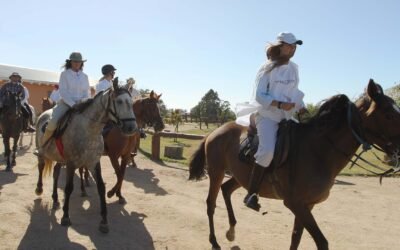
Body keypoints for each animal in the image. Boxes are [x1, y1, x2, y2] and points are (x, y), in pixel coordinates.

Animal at [34, 79, 138, 233]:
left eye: (131, 102)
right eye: (119, 101)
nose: (131, 127)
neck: (89, 130)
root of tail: (43, 114)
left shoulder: (94, 162)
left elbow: (101, 187)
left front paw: (104, 220)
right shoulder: (72, 163)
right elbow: (69, 188)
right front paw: (65, 217)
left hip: (60, 158)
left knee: (56, 173)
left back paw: (55, 199)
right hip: (43, 153)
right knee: (41, 167)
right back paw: (39, 189)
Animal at [189, 79, 400, 249]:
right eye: (389, 114)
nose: (397, 151)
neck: (318, 151)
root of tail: (214, 132)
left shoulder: (307, 206)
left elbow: (295, 238)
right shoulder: (296, 204)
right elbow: (321, 242)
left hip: (241, 177)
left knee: (226, 190)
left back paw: (231, 231)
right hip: (216, 172)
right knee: (210, 203)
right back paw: (214, 241)